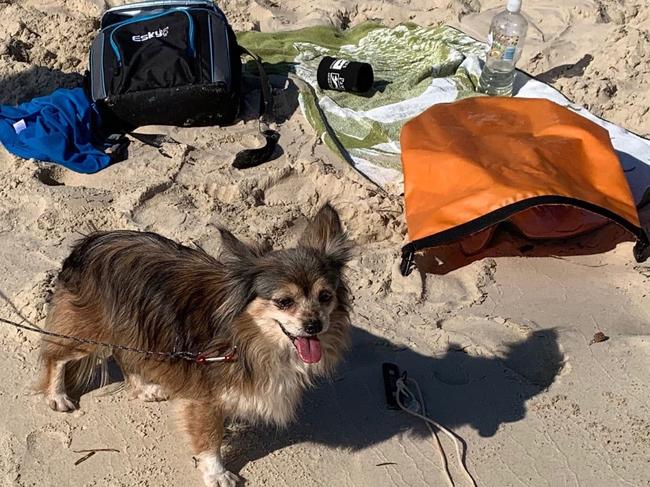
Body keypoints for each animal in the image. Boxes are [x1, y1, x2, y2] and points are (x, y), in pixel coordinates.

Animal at [36, 204, 350, 486]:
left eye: (325, 296)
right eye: (284, 302)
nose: (314, 325)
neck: (248, 337)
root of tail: (90, 241)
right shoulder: (205, 396)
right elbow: (209, 438)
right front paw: (216, 473)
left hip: (135, 331)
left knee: (126, 357)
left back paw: (144, 388)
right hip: (90, 331)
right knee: (56, 355)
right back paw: (57, 395)